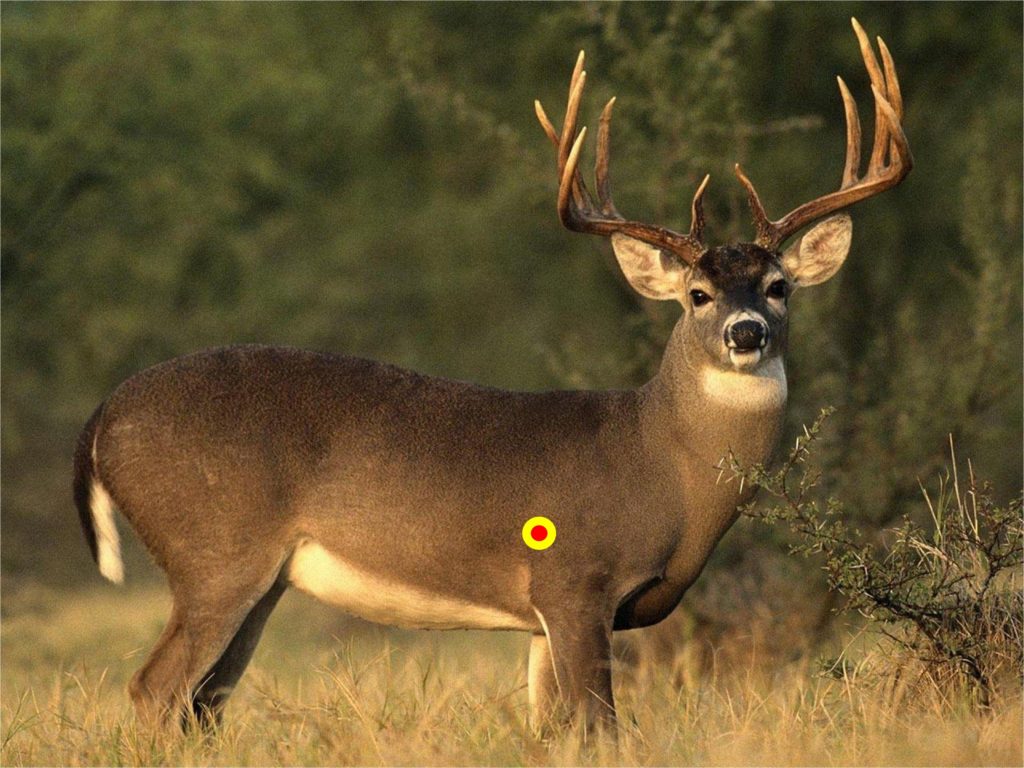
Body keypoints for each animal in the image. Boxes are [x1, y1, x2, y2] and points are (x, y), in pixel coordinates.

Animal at [72, 18, 910, 735]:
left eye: (778, 286)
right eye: (698, 294)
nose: (746, 333)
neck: (663, 467)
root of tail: (102, 419)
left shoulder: (542, 617)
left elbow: (553, 731)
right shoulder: (575, 580)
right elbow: (600, 728)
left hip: (260, 580)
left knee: (202, 703)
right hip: (215, 551)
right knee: (154, 689)